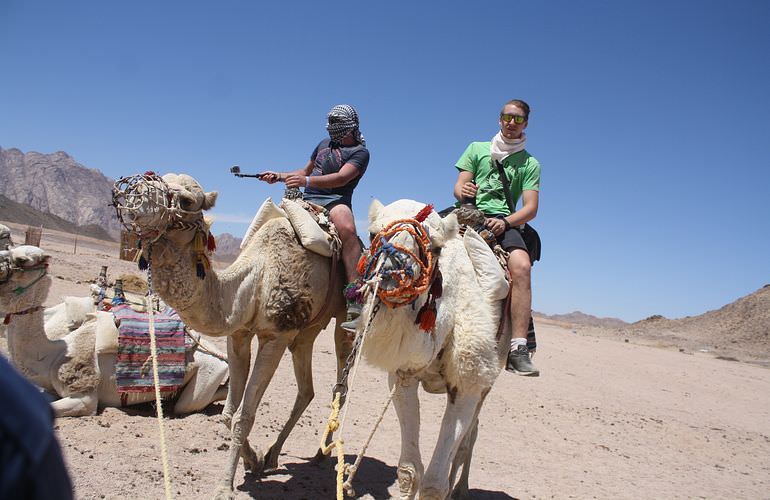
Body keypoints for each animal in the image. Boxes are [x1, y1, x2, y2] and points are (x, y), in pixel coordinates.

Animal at [112, 173, 350, 496]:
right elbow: (228, 413)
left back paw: (321, 453)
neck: (255, 280)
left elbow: (243, 415)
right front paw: (253, 461)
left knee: (340, 383)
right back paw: (274, 455)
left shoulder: (276, 336)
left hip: (343, 320)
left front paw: (225, 486)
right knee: (307, 389)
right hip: (307, 330)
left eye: (186, 201)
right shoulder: (238, 335)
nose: (133, 190)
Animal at [354, 200, 510, 500]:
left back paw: (461, 490)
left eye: (436, 247)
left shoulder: (467, 385)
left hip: (488, 379)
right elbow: (409, 471)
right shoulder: (403, 375)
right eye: (372, 233)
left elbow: (435, 483)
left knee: (468, 439)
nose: (392, 276)